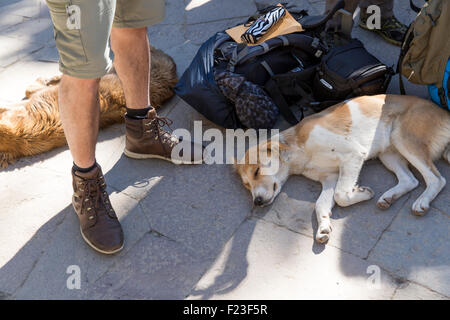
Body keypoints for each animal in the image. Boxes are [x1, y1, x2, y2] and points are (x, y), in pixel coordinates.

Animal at [234, 94, 450, 242]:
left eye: (256, 171)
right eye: (246, 185)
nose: (257, 202)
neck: (299, 149)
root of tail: (445, 113)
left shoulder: (353, 155)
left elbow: (341, 195)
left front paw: (362, 193)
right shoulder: (330, 178)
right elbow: (321, 204)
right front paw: (322, 227)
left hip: (403, 138)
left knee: (436, 179)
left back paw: (422, 202)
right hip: (388, 153)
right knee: (410, 180)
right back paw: (389, 197)